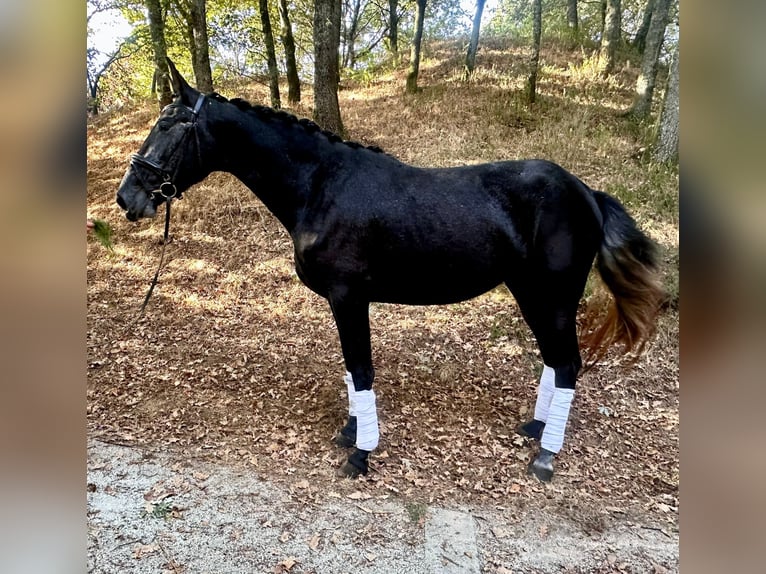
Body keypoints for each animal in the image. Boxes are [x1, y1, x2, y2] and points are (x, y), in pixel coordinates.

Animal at [116, 59, 665, 482]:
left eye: (169, 124)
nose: (127, 197)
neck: (322, 185)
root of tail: (586, 192)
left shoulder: (348, 296)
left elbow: (360, 369)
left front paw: (361, 454)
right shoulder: (343, 301)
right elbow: (349, 368)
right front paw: (350, 432)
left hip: (555, 296)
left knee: (568, 364)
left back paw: (546, 454)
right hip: (530, 292)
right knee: (554, 361)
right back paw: (535, 428)